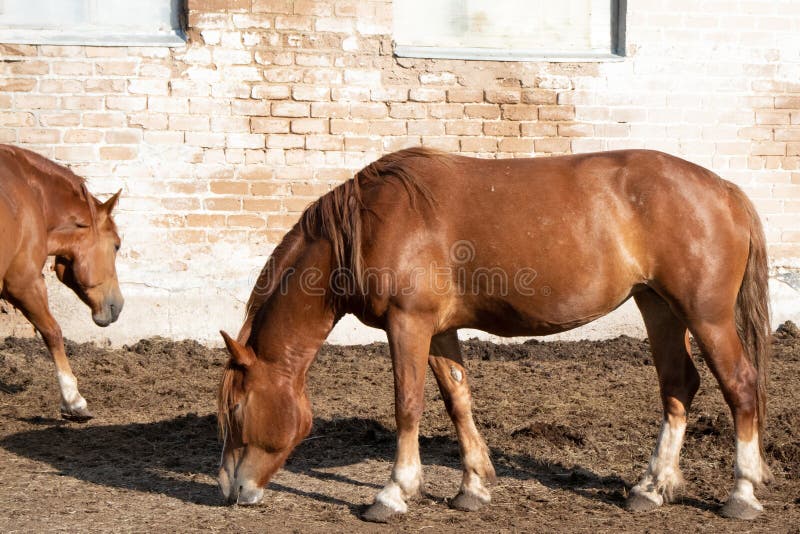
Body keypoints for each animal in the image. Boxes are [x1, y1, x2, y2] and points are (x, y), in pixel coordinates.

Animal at [216, 148, 772, 524]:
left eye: (237, 409)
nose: (229, 489)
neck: (371, 224)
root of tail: (724, 189)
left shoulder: (408, 324)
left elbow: (407, 405)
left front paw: (393, 493)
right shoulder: (438, 330)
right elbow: (457, 400)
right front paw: (474, 486)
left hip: (706, 316)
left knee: (741, 386)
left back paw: (742, 493)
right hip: (658, 306)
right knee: (679, 386)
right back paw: (650, 488)